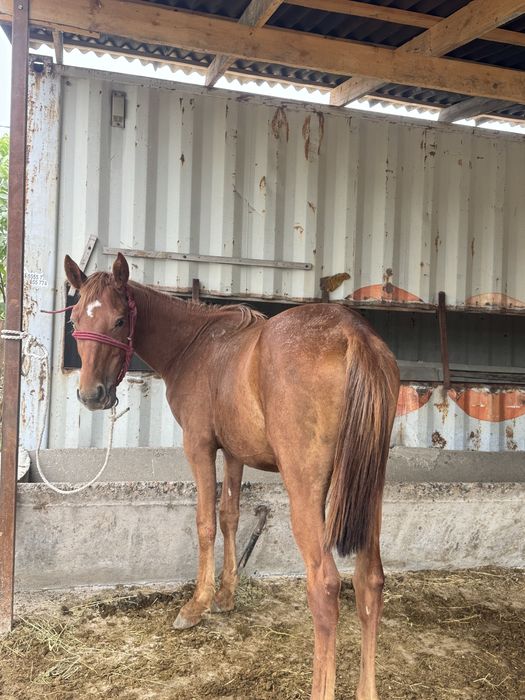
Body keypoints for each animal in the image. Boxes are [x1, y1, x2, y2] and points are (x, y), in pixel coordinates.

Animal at [64, 252, 399, 700]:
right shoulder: (236, 454)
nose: (91, 396)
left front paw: (198, 604)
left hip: (307, 491)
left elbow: (205, 522)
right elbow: (230, 516)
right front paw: (225, 595)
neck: (195, 346)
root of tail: (353, 333)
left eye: (119, 320)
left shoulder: (200, 446)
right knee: (370, 582)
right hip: (369, 491)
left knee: (326, 587)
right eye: (74, 319)